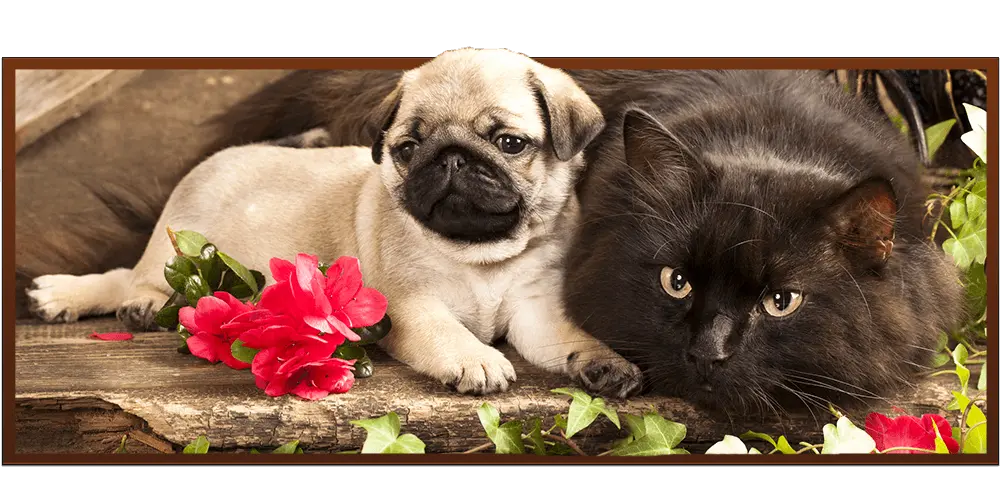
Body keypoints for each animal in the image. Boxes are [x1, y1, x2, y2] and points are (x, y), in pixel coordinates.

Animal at [29, 47, 648, 398]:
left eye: (510, 143)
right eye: (407, 149)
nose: (450, 158)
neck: (480, 254)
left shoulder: (535, 311)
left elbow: (570, 337)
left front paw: (604, 364)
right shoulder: (413, 307)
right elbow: (448, 333)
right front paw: (476, 358)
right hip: (175, 241)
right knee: (133, 275)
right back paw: (98, 298)